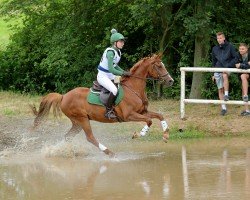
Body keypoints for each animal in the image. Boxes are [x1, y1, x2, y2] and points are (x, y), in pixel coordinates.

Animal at [31, 54, 174, 157]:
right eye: (159, 66)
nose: (171, 81)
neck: (133, 89)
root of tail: (63, 96)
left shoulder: (142, 112)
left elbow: (159, 116)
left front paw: (166, 135)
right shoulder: (129, 115)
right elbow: (149, 121)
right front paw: (139, 134)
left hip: (77, 123)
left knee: (68, 137)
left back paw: (69, 152)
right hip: (82, 119)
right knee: (90, 138)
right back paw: (109, 152)